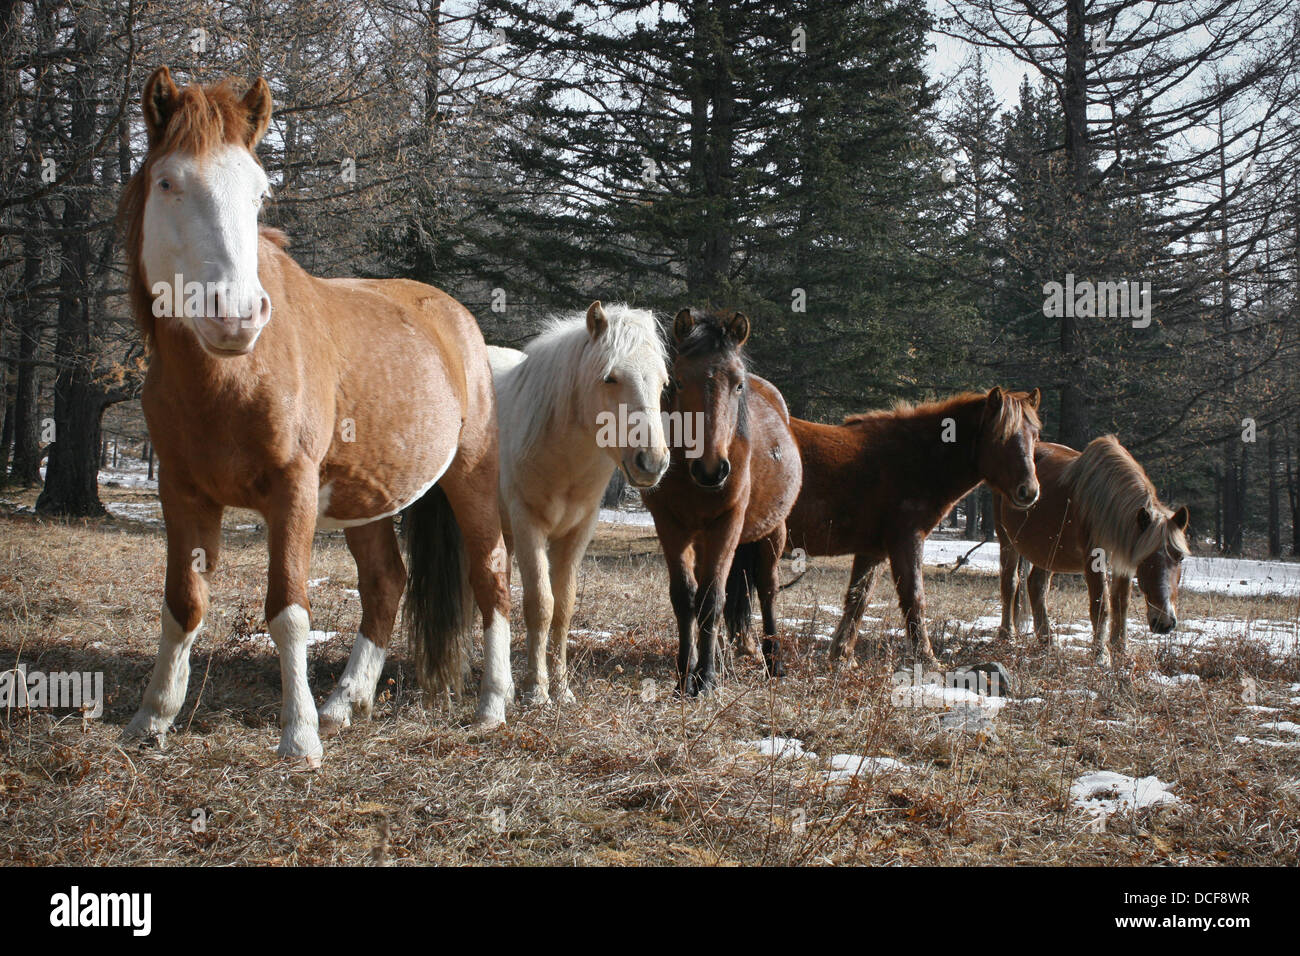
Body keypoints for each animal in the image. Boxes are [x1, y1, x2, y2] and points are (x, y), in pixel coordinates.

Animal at [118, 69, 512, 770]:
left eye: (259, 192)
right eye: (168, 183)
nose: (236, 315)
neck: (231, 378)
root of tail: (455, 316)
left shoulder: (293, 490)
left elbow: (289, 612)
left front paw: (297, 738)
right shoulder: (181, 492)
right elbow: (183, 604)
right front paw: (152, 719)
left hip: (470, 476)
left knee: (490, 574)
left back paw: (493, 705)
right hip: (366, 500)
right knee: (385, 584)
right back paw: (345, 702)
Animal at [488, 303, 670, 707]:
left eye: (664, 383)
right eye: (610, 378)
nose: (651, 462)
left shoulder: (577, 532)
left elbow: (564, 608)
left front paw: (561, 689)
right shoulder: (529, 526)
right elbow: (541, 605)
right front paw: (537, 692)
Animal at [639, 310, 800, 691]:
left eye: (738, 384)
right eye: (678, 382)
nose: (711, 469)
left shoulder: (727, 524)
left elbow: (712, 598)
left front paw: (707, 678)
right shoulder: (670, 525)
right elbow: (686, 598)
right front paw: (685, 675)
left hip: (772, 533)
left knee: (768, 590)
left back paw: (773, 661)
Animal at [780, 387, 1045, 665]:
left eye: (1035, 436)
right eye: (1001, 436)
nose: (1029, 491)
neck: (917, 458)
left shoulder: (873, 551)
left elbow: (859, 598)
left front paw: (842, 656)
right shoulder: (906, 540)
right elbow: (914, 597)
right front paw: (927, 657)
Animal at [993, 437, 1190, 671]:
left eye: (1180, 557)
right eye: (1144, 559)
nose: (1164, 623)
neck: (1106, 504)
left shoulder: (1122, 561)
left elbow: (1121, 604)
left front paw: (1121, 651)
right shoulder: (1095, 560)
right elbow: (1101, 605)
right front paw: (1101, 655)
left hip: (1046, 551)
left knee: (1036, 586)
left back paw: (1047, 642)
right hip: (1007, 541)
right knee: (1010, 583)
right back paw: (1007, 636)